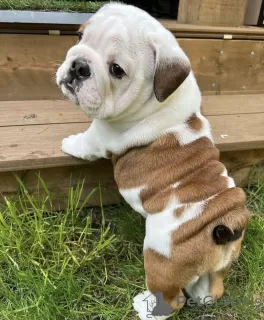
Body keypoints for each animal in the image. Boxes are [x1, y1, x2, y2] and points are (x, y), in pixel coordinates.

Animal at [55, 3, 250, 320]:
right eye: (80, 36)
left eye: (117, 70)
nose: (78, 65)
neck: (161, 97)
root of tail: (228, 222)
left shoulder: (100, 134)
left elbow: (84, 142)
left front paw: (68, 143)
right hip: (217, 268)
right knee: (211, 288)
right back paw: (200, 291)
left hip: (160, 257)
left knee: (171, 298)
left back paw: (146, 307)